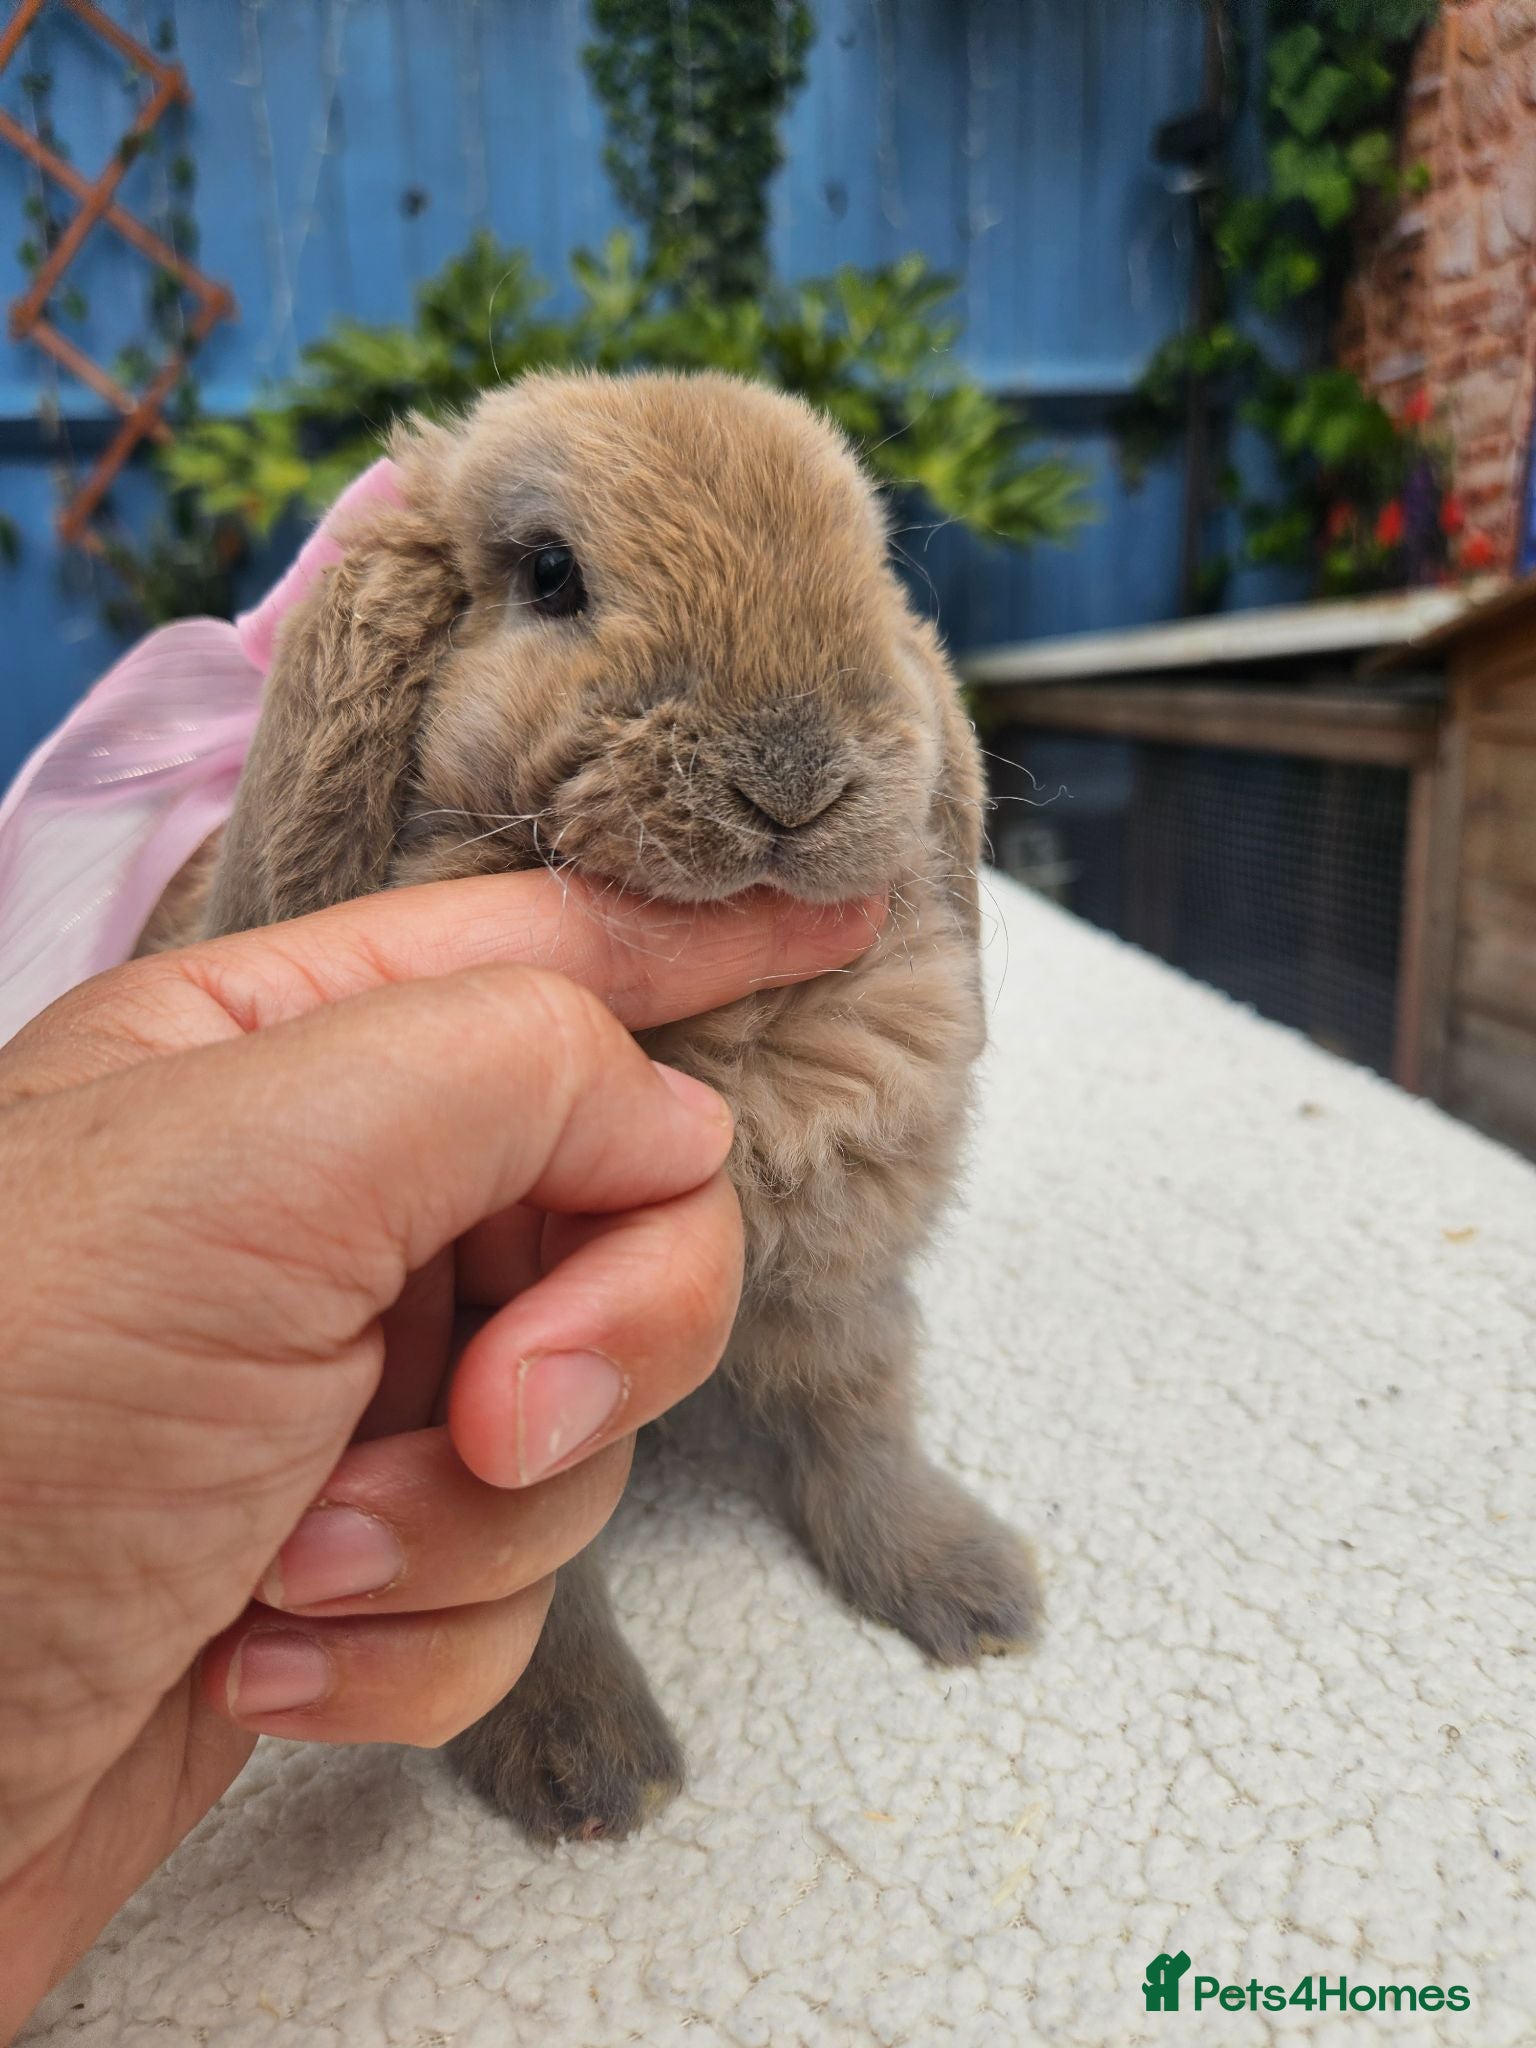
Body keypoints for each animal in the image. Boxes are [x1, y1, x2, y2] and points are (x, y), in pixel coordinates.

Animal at [173, 370, 1040, 1843]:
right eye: (550, 573)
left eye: (871, 562)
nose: (793, 776)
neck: (741, 1040)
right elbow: (542, 1586)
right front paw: (590, 1769)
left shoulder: (841, 1282)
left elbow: (859, 1423)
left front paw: (971, 1591)